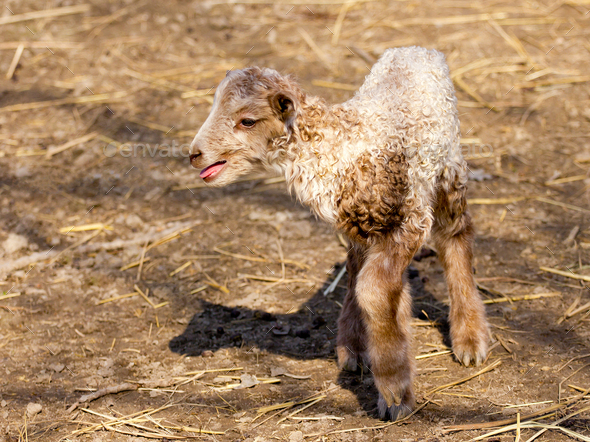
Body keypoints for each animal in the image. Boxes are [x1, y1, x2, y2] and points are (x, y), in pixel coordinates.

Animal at [188, 46, 490, 420]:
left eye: (247, 120)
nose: (194, 155)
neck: (340, 147)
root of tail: (416, 49)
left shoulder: (410, 220)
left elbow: (373, 291)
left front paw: (395, 395)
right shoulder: (363, 225)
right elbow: (365, 282)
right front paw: (372, 356)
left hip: (448, 168)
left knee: (456, 235)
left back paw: (470, 339)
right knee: (363, 270)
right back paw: (359, 346)